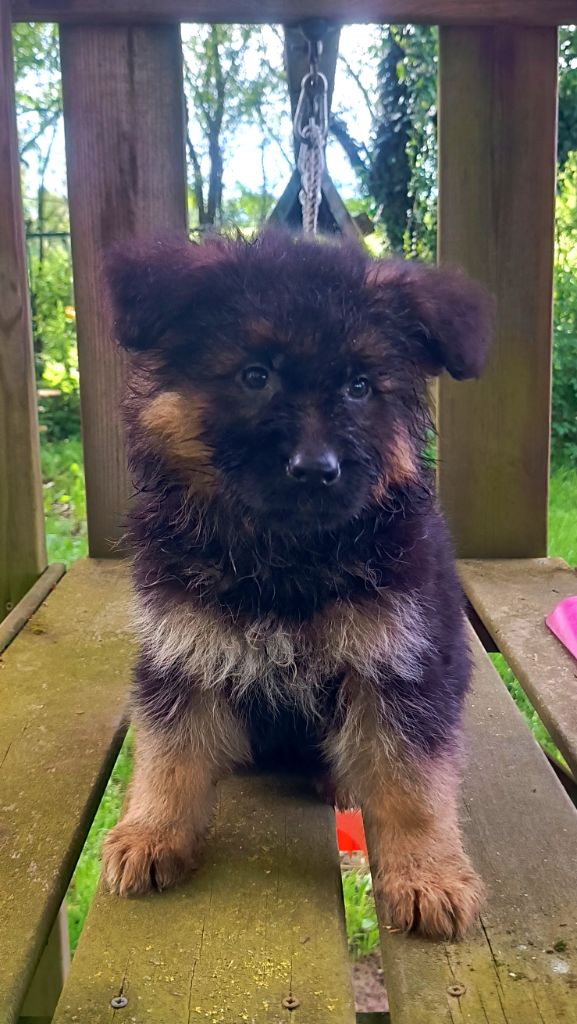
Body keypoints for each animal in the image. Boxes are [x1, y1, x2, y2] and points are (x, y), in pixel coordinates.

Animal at [102, 231, 492, 940]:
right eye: (256, 375)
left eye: (360, 386)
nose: (317, 469)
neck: (286, 562)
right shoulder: (181, 650)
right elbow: (170, 753)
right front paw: (151, 832)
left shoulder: (402, 664)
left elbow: (412, 782)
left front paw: (428, 875)